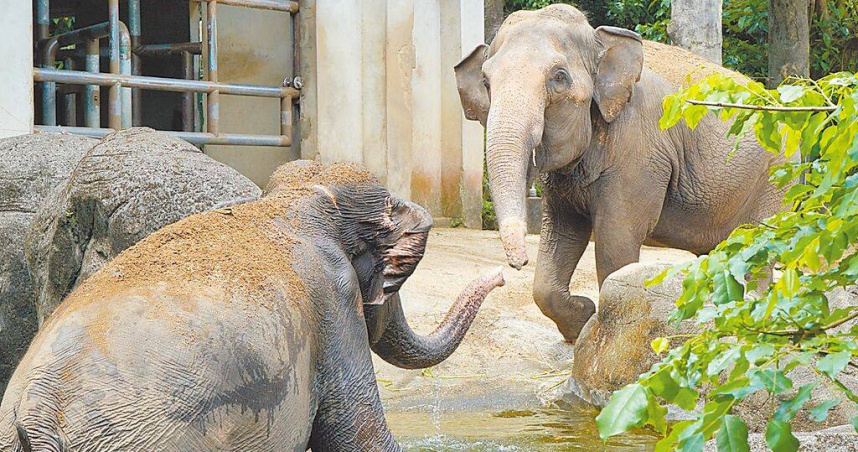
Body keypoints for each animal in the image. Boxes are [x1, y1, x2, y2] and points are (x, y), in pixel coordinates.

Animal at [454, 4, 785, 342]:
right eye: (485, 81)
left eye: (559, 78)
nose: (516, 265)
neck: (599, 40)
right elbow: (561, 234)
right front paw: (582, 320)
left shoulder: (640, 151)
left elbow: (616, 240)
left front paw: (599, 332)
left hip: (773, 179)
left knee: (754, 250)